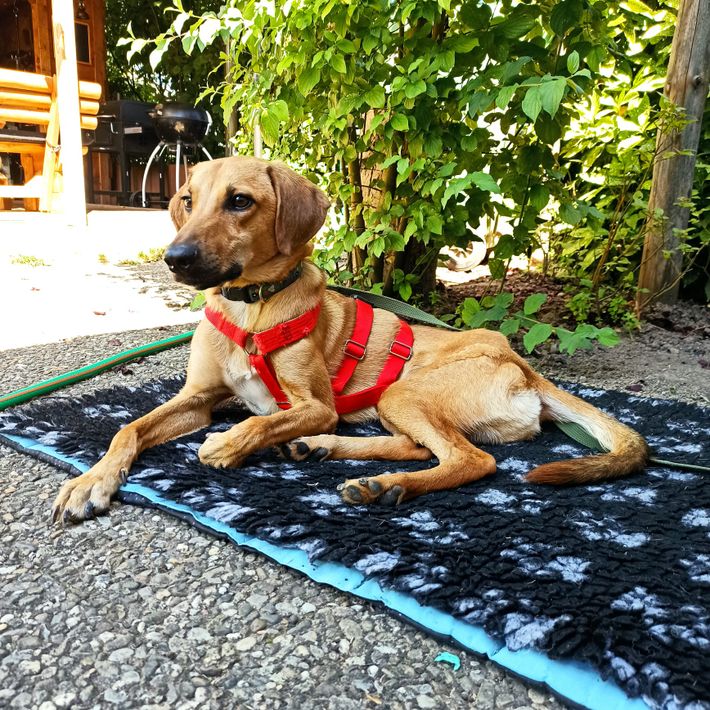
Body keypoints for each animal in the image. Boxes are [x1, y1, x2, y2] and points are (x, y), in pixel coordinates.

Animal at [52, 156, 649, 522]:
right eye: (186, 198)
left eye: (240, 201)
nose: (175, 259)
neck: (252, 308)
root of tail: (521, 366)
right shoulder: (197, 400)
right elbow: (128, 428)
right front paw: (91, 481)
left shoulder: (315, 403)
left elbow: (260, 420)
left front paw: (229, 442)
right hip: (394, 405)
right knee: (419, 447)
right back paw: (327, 453)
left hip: (403, 393)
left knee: (471, 459)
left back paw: (384, 483)